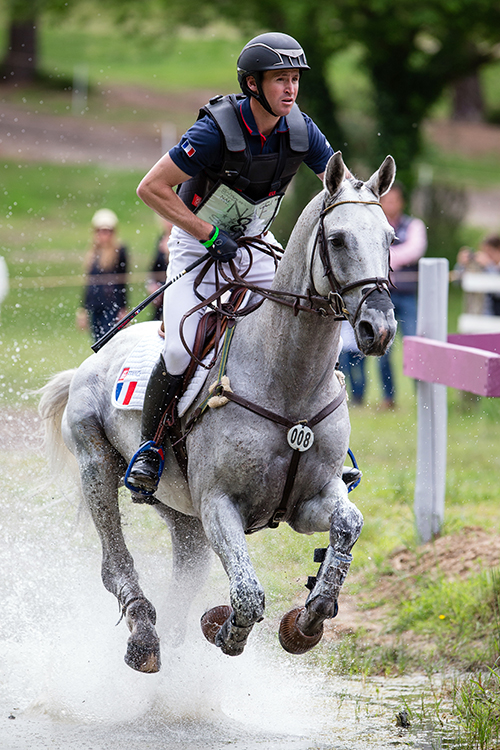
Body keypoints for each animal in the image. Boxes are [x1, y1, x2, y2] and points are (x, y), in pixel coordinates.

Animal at [39, 151, 396, 676]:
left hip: (180, 510)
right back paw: (144, 637)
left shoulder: (310, 500)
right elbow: (247, 595)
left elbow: (348, 525)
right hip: (97, 466)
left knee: (185, 572)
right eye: (337, 239)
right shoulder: (218, 504)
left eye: (391, 239)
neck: (287, 380)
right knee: (114, 561)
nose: (379, 328)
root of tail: (90, 364)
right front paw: (225, 629)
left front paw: (308, 619)